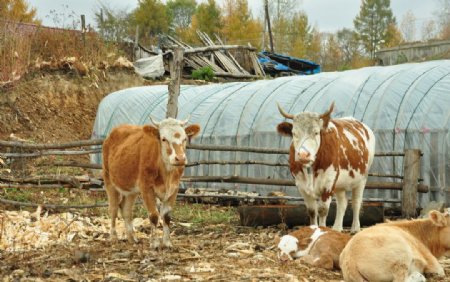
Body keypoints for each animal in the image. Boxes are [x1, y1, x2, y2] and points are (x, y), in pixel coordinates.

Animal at [103, 117, 201, 249]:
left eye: (184, 138)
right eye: (163, 139)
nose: (180, 158)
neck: (166, 173)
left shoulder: (174, 189)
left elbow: (167, 216)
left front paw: (167, 242)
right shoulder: (146, 188)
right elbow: (154, 215)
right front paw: (154, 243)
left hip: (131, 190)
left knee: (126, 209)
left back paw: (132, 238)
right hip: (109, 180)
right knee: (113, 209)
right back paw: (113, 237)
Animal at [278, 102, 376, 232]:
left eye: (316, 132)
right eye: (294, 133)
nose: (303, 155)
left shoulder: (328, 185)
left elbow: (323, 211)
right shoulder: (301, 186)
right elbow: (312, 211)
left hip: (362, 178)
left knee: (356, 202)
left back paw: (355, 228)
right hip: (339, 184)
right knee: (342, 203)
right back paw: (337, 228)